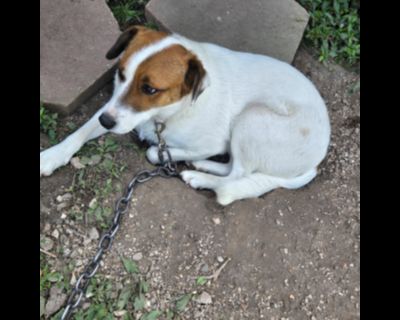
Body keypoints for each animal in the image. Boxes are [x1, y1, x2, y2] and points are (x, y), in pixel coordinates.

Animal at [39, 25, 332, 205]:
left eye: (150, 89)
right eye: (120, 74)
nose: (106, 122)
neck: (165, 114)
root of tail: (315, 161)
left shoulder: (213, 143)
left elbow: (154, 151)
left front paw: (163, 153)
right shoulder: (115, 109)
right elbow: (80, 132)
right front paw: (51, 156)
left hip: (252, 119)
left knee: (237, 173)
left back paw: (200, 176)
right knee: (233, 168)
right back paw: (203, 167)